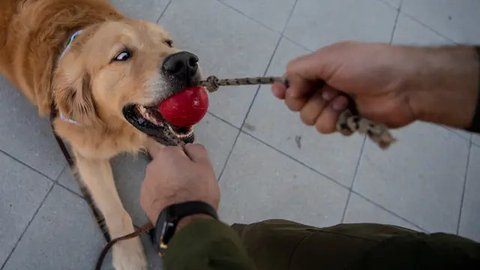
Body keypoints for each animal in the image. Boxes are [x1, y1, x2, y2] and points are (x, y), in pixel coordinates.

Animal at [0, 0, 200, 268]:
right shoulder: (88, 156)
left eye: (168, 43)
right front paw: (129, 254)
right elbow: (116, 209)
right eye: (122, 56)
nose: (185, 62)